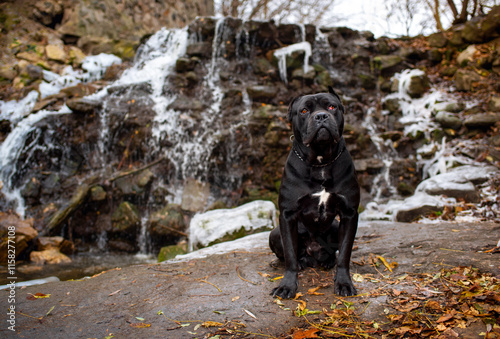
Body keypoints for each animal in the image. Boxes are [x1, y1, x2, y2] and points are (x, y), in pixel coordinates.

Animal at [270, 88, 360, 300]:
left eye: (331, 107)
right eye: (304, 110)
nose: (321, 116)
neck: (320, 162)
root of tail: (313, 254)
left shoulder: (349, 214)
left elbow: (345, 253)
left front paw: (344, 283)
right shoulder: (287, 215)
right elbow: (290, 255)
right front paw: (287, 285)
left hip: (334, 227)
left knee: (333, 253)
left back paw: (326, 262)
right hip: (274, 233)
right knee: (290, 254)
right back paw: (299, 261)